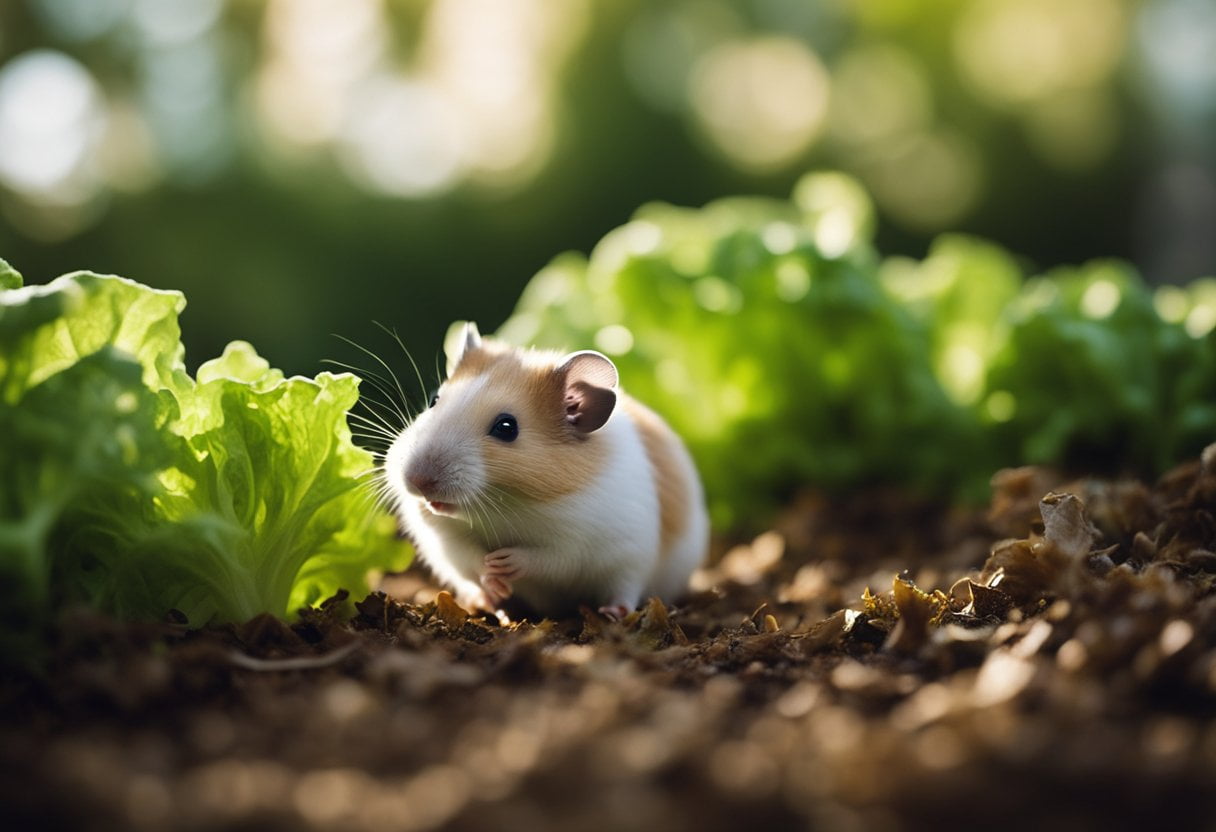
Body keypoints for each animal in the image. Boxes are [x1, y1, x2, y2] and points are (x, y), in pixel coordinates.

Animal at [384, 322, 709, 619]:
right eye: (434, 400)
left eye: (506, 427)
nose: (417, 480)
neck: (509, 507)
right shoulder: (442, 537)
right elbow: (470, 555)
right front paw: (494, 579)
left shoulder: (582, 542)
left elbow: (548, 559)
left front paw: (504, 562)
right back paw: (485, 602)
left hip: (633, 564)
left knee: (625, 587)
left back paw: (613, 613)